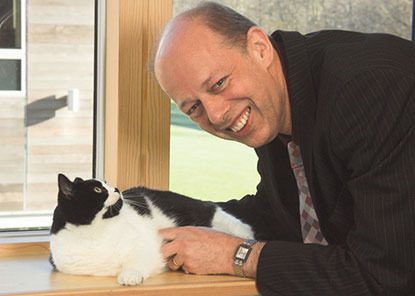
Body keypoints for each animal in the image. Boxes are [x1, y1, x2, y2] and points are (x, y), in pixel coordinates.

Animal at [50, 175, 255, 286]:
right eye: (97, 189)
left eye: (106, 183)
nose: (116, 188)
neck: (96, 233)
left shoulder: (144, 246)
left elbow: (136, 262)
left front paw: (129, 276)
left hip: (215, 216)